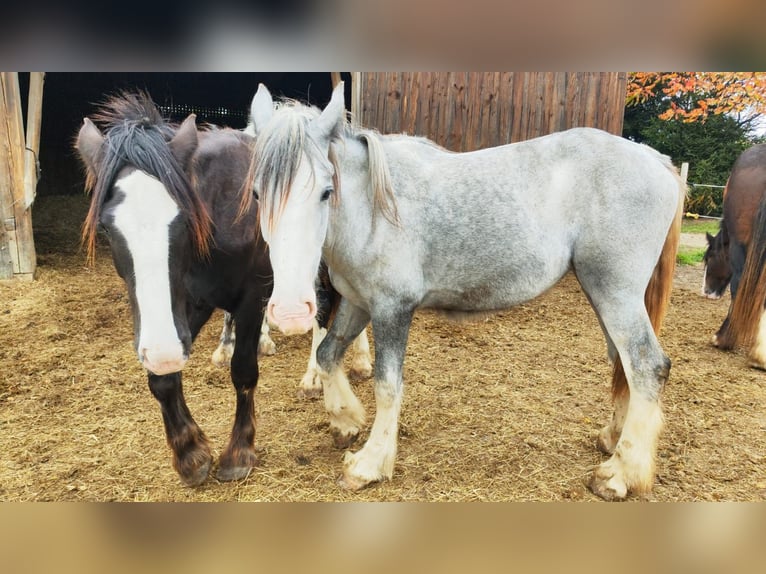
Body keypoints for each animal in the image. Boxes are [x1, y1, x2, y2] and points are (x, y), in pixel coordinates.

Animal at [244, 82, 685, 501]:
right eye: (258, 194)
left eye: (325, 191)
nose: (290, 312)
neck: (372, 209)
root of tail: (655, 160)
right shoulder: (357, 302)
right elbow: (327, 354)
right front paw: (346, 421)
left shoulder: (391, 308)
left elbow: (387, 385)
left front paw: (369, 463)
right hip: (603, 293)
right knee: (623, 364)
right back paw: (613, 441)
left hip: (616, 293)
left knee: (646, 366)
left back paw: (619, 475)